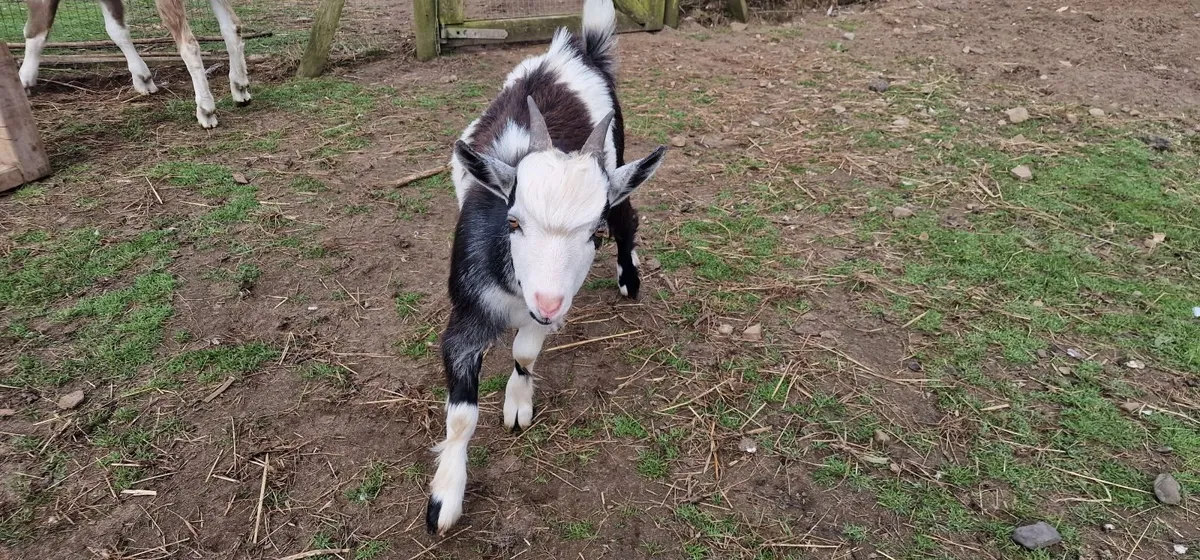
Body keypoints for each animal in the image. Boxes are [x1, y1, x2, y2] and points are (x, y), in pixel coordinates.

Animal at [19, 0, 251, 128]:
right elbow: (116, 28)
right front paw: (142, 79)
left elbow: (35, 30)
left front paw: (24, 80)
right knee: (232, 25)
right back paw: (240, 88)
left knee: (189, 43)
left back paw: (205, 109)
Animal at [425, 0, 667, 535]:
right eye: (513, 221)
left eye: (591, 234)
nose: (549, 301)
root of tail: (575, 52)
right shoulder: (467, 311)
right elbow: (460, 417)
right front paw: (444, 498)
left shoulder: (548, 310)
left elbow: (525, 350)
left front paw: (518, 402)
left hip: (620, 158)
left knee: (629, 217)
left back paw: (630, 276)